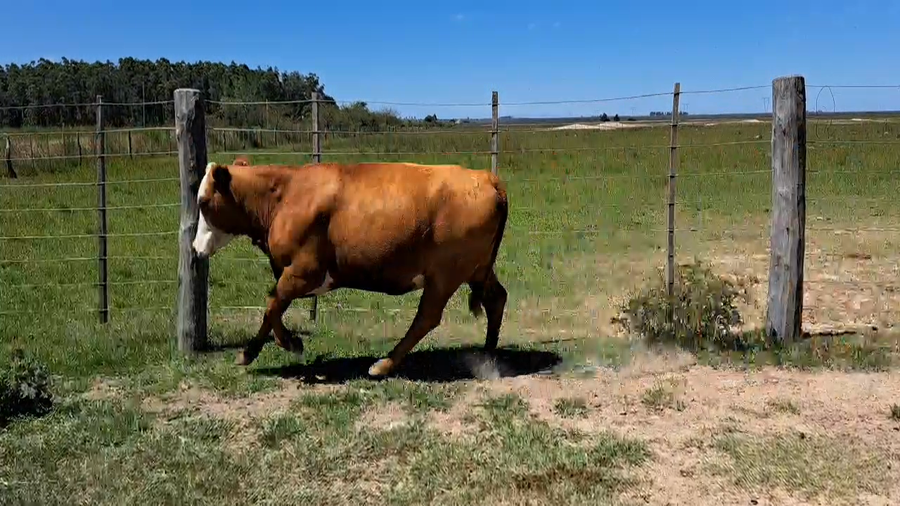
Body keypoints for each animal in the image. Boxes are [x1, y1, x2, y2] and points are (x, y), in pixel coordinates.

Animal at [192, 157, 509, 378]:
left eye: (203, 202)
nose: (195, 248)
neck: (285, 195)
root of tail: (486, 177)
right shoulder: (289, 273)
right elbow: (275, 308)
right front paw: (290, 342)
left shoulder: (304, 272)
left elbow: (271, 307)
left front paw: (254, 352)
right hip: (477, 269)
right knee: (496, 298)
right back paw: (488, 353)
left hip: (445, 274)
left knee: (427, 317)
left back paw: (383, 365)